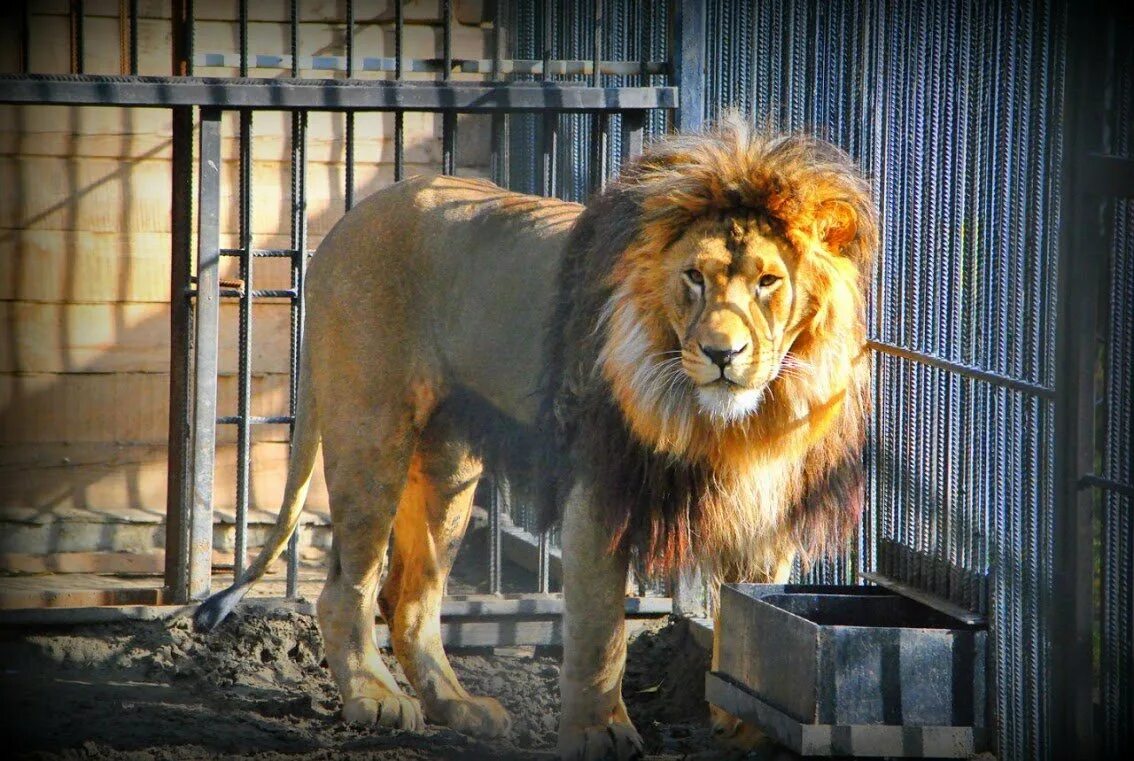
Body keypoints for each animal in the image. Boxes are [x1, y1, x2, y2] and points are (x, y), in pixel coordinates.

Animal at [195, 114, 875, 761]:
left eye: (768, 282)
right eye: (694, 278)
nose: (721, 354)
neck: (728, 422)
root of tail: (344, 223)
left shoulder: (764, 507)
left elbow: (746, 619)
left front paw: (748, 727)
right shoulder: (599, 489)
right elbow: (601, 632)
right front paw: (599, 734)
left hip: (449, 467)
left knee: (409, 600)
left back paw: (461, 708)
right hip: (371, 432)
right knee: (346, 590)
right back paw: (375, 698)